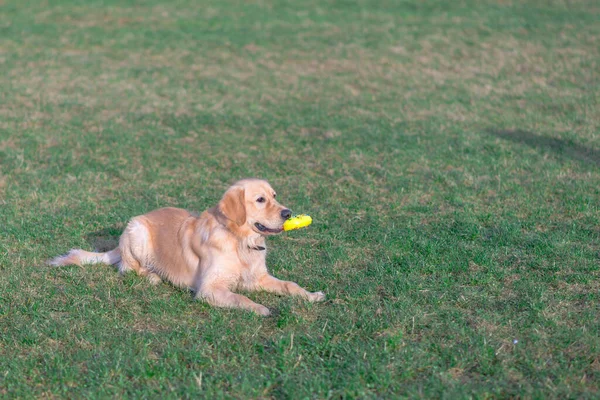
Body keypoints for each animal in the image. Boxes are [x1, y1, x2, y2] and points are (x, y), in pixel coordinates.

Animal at [49, 179, 326, 316]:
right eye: (260, 199)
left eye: (275, 196)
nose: (288, 213)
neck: (240, 240)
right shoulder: (209, 289)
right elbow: (239, 297)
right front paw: (261, 309)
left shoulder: (257, 277)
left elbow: (289, 285)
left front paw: (311, 295)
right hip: (136, 230)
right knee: (127, 268)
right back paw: (152, 276)